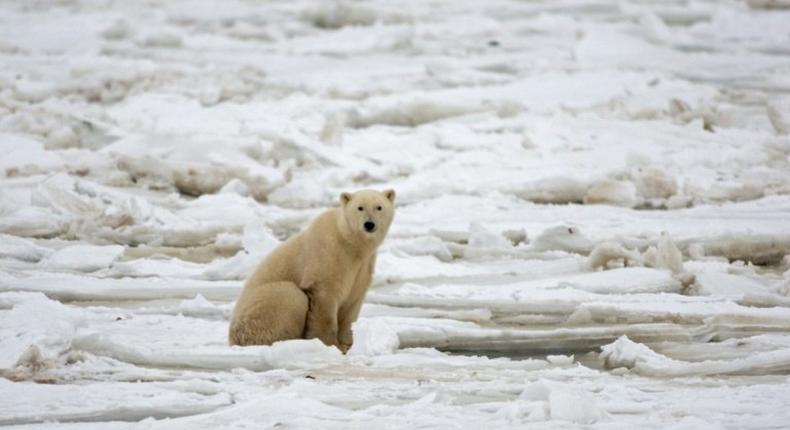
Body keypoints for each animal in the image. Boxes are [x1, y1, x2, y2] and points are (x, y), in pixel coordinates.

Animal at [229, 188, 396, 352]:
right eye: (360, 207)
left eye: (379, 207)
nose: (369, 224)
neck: (350, 242)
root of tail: (232, 339)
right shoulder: (328, 256)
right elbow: (324, 301)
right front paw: (330, 344)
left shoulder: (362, 266)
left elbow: (352, 302)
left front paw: (348, 343)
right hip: (261, 307)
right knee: (290, 295)